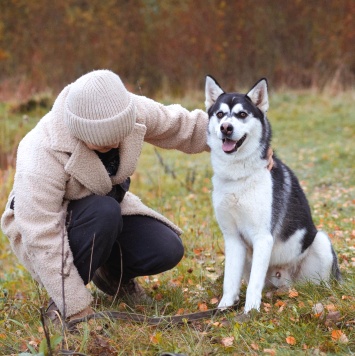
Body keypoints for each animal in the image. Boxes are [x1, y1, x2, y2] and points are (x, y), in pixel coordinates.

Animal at [206, 76, 342, 312]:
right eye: (220, 114)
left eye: (242, 114)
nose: (226, 128)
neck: (238, 177)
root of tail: (287, 282)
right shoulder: (232, 238)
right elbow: (230, 281)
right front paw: (224, 308)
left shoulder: (263, 237)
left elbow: (254, 285)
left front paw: (250, 312)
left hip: (321, 241)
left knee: (322, 284)